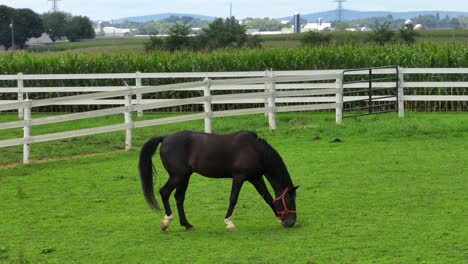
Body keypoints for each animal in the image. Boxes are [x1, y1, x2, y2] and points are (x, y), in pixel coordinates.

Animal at [139, 130, 300, 231]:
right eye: (290, 200)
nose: (290, 222)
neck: (255, 150)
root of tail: (165, 138)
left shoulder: (255, 178)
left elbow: (268, 197)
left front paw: (278, 218)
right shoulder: (239, 177)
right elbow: (233, 198)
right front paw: (229, 223)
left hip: (185, 177)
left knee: (179, 197)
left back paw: (187, 224)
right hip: (178, 176)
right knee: (164, 192)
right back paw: (166, 222)